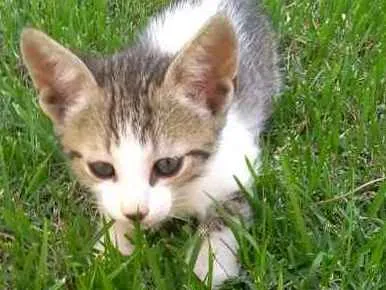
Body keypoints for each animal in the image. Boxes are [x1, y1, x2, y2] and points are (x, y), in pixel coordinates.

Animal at [20, 0, 280, 286]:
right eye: (101, 168)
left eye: (167, 165)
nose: (136, 213)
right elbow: (112, 215)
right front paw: (110, 256)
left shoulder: (239, 163)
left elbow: (227, 215)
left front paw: (208, 265)